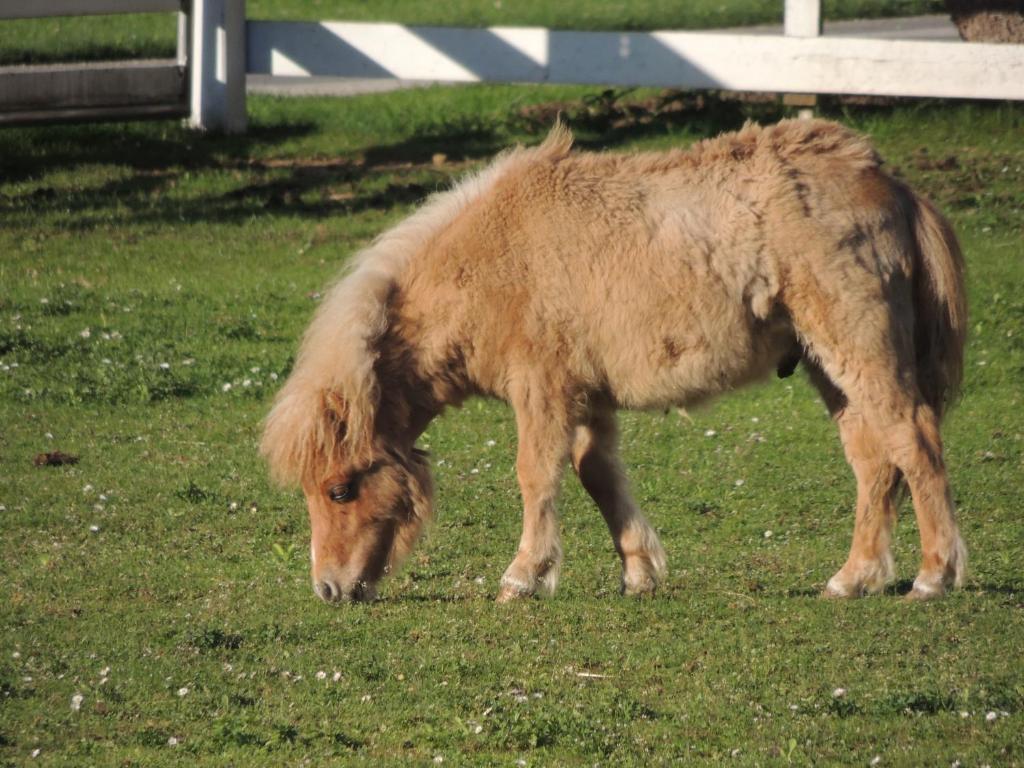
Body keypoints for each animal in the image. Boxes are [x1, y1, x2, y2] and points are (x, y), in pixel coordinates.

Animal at [260, 120, 962, 606]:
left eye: (340, 489)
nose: (329, 589)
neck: (495, 259)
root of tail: (890, 182)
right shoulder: (588, 397)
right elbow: (596, 474)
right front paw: (639, 570)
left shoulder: (541, 389)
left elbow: (536, 475)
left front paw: (523, 577)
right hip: (829, 367)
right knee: (874, 461)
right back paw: (854, 578)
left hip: (858, 349)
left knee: (914, 440)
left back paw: (933, 576)